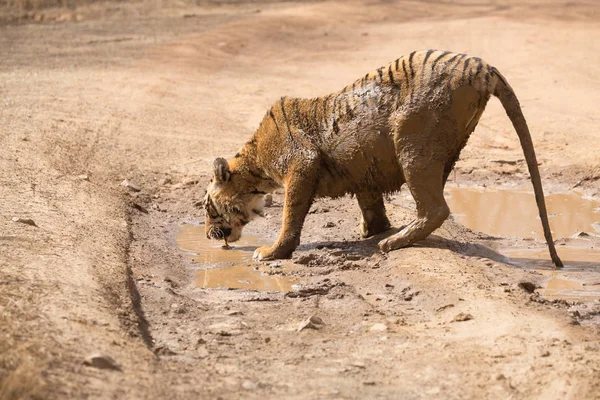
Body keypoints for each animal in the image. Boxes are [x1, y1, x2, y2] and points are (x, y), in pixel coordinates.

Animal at [204, 50, 564, 268]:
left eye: (208, 208)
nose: (208, 235)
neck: (253, 170)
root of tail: (480, 65)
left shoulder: (301, 165)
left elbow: (290, 214)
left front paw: (270, 253)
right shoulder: (362, 167)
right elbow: (370, 201)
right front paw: (372, 228)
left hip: (413, 140)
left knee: (437, 207)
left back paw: (393, 243)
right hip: (445, 144)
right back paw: (397, 235)